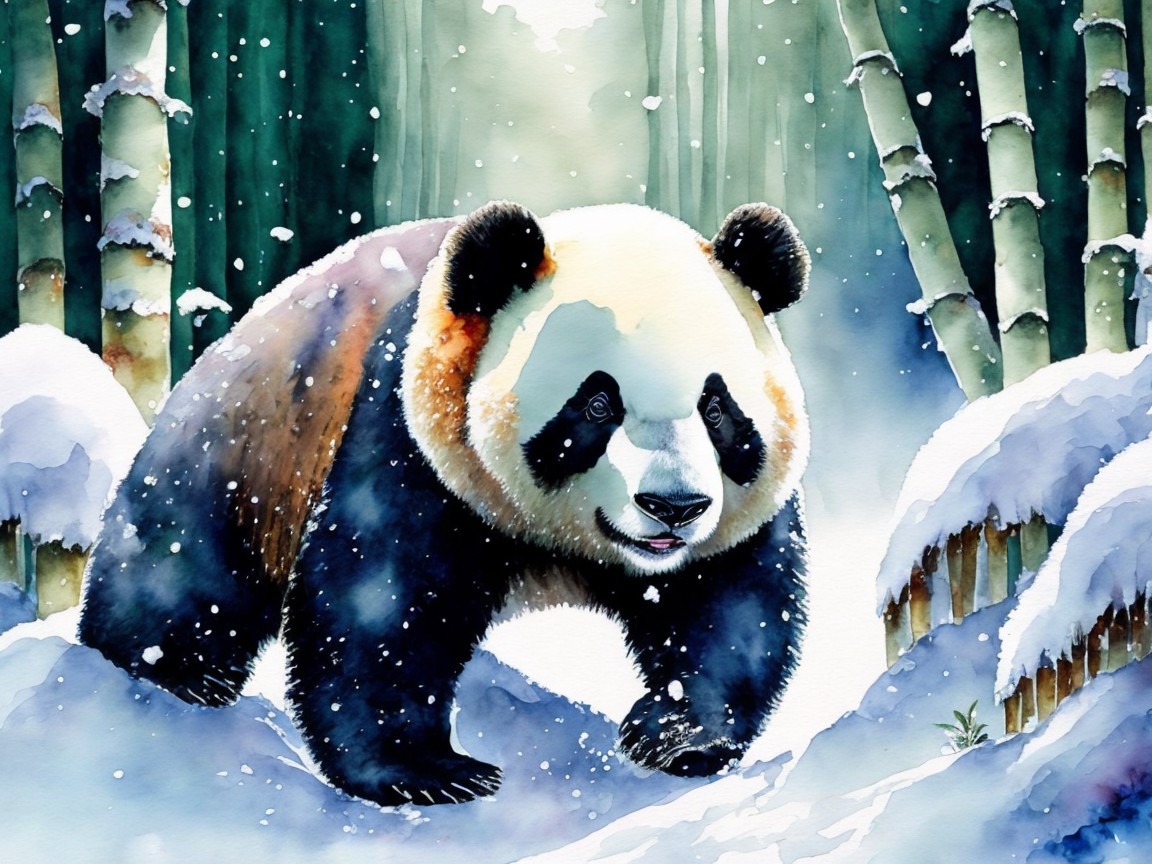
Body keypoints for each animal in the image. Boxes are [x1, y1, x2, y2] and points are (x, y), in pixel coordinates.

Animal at [79, 201, 811, 807]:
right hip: (255, 436)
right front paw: (429, 772)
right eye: (599, 403)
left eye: (717, 407)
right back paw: (172, 672)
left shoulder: (732, 518)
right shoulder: (411, 432)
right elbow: (381, 600)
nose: (673, 505)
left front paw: (678, 733)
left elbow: (729, 602)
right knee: (183, 559)